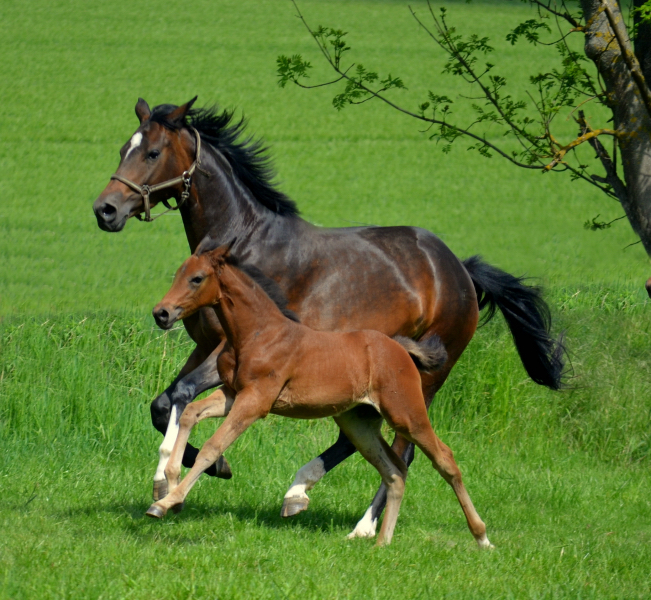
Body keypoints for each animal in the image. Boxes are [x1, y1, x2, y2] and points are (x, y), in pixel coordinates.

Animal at [146, 237, 494, 548]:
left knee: (443, 459)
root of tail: (401, 348)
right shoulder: (232, 394)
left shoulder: (255, 401)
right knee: (395, 471)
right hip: (359, 423)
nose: (161, 313)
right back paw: (380, 541)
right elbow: (191, 413)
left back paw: (481, 537)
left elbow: (212, 447)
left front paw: (166, 502)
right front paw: (169, 485)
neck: (258, 333)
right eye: (178, 274)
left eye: (197, 278)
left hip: (406, 413)